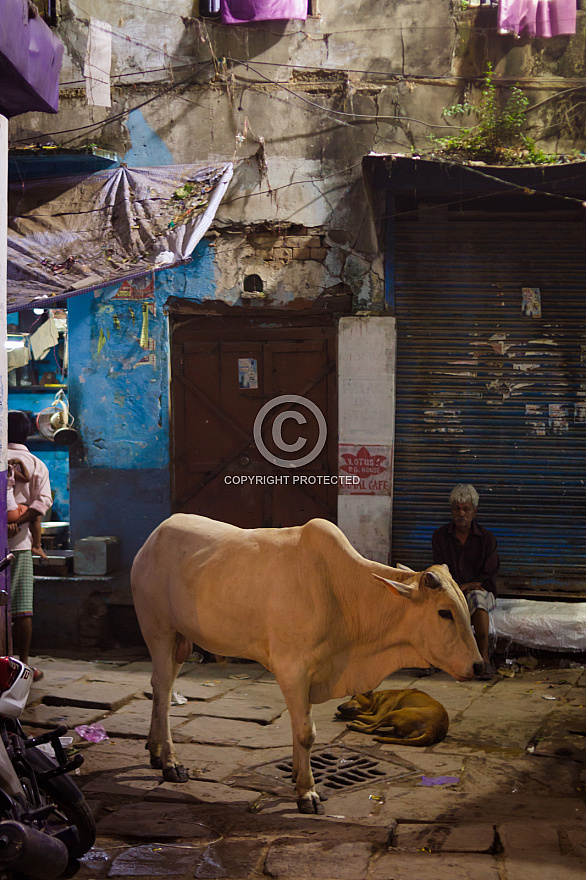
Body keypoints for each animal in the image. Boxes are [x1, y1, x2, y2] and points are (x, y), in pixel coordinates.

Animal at [130, 516, 482, 812]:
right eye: (444, 612)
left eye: (464, 607)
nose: (479, 666)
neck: (342, 594)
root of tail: (153, 538)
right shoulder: (293, 670)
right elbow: (305, 733)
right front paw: (307, 792)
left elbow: (300, 729)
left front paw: (299, 776)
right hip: (158, 631)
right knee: (164, 694)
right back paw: (170, 763)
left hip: (178, 640)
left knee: (160, 688)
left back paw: (155, 751)